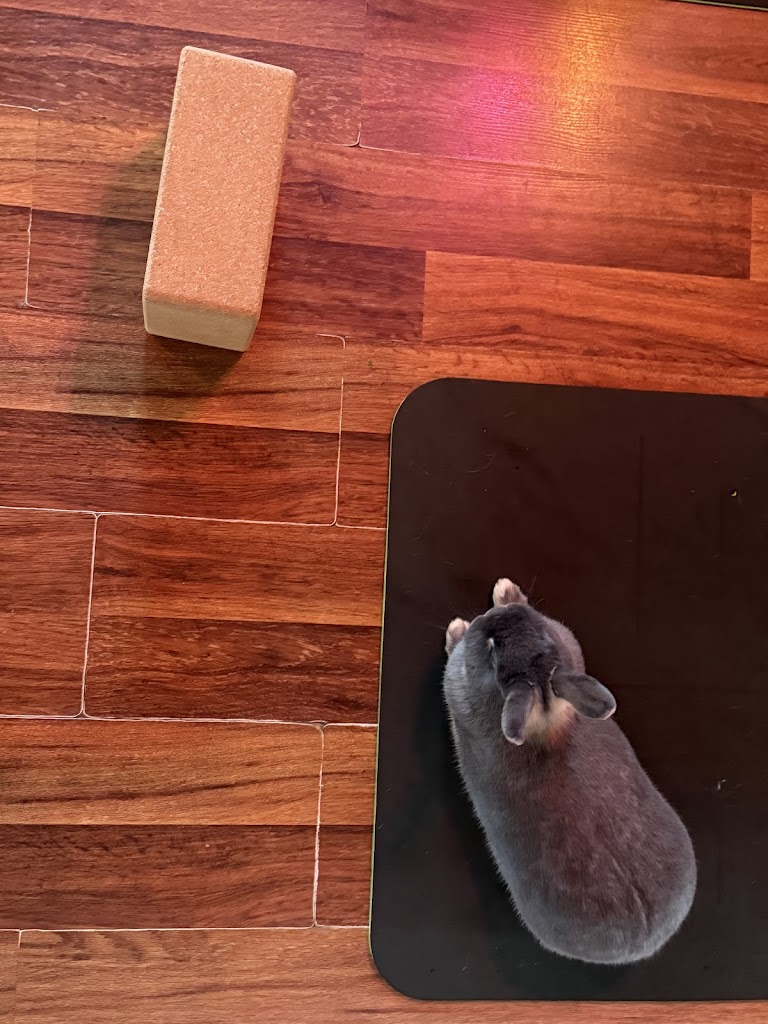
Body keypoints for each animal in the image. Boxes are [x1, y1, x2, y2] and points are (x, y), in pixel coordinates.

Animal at [443, 579, 696, 965]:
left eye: (491, 649)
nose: (494, 616)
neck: (545, 715)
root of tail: (644, 943)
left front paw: (461, 624)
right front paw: (506, 591)